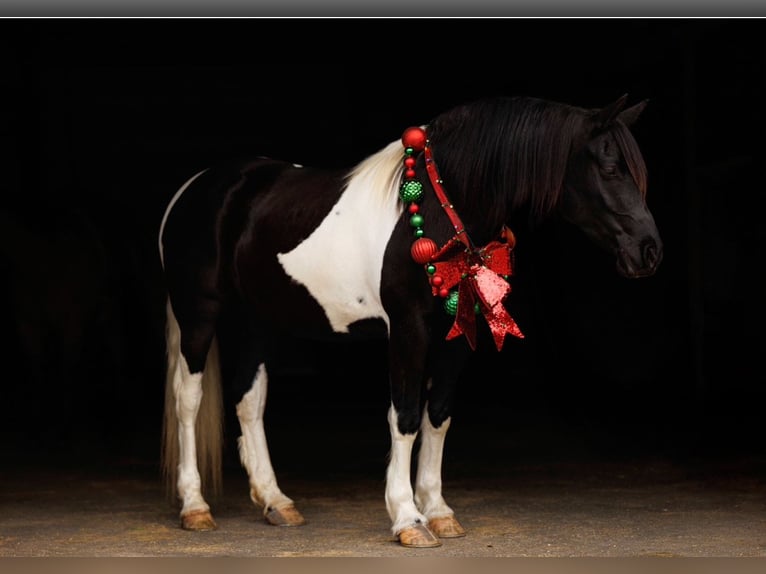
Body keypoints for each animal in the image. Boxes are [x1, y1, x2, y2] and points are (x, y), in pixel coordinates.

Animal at [157, 93, 663, 548]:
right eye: (610, 168)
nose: (649, 251)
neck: (437, 212)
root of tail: (197, 187)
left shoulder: (458, 334)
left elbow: (437, 416)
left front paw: (438, 511)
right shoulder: (407, 329)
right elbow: (403, 416)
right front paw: (407, 517)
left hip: (259, 319)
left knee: (249, 399)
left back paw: (275, 501)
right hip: (199, 315)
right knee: (189, 399)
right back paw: (195, 507)